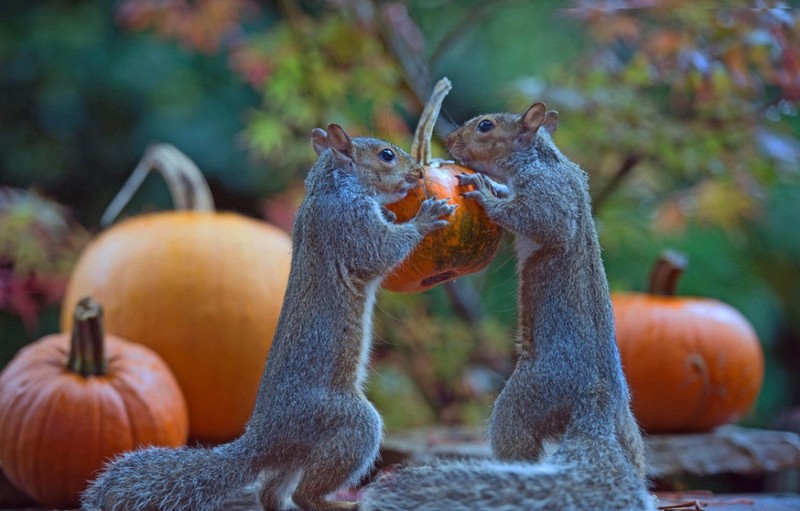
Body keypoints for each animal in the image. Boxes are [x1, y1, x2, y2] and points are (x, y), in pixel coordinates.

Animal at [83, 124, 456, 511]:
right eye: (386, 155)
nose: (418, 174)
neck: (329, 188)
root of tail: (261, 441)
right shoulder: (348, 222)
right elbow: (380, 250)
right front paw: (426, 217)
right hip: (348, 424)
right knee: (307, 491)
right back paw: (341, 503)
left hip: (297, 455)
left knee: (271, 491)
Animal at [360, 104, 656, 511]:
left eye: (486, 126)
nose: (450, 140)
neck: (545, 158)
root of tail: (595, 402)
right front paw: (494, 188)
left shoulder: (550, 193)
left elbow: (543, 221)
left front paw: (487, 194)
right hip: (625, 424)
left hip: (527, 396)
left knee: (514, 438)